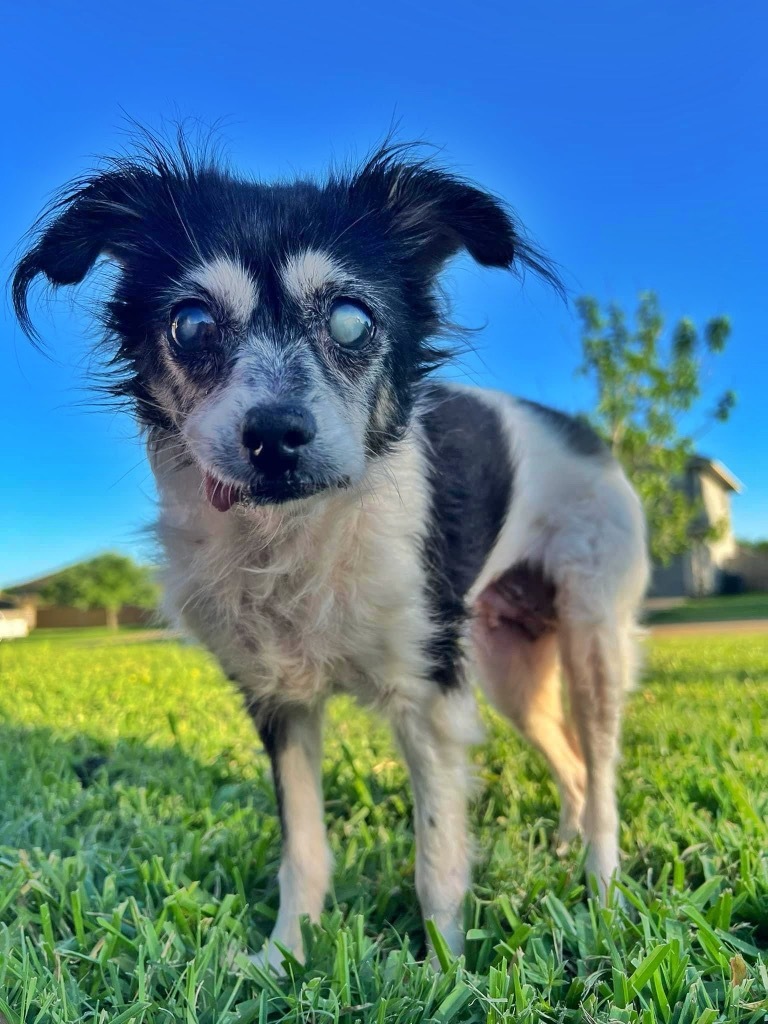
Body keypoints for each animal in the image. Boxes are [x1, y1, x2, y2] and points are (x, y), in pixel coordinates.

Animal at [12, 136, 651, 966]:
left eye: (351, 322)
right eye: (191, 325)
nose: (275, 435)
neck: (291, 530)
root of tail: (587, 436)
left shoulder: (428, 698)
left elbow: (437, 859)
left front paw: (444, 969)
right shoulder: (278, 704)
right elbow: (304, 849)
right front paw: (285, 956)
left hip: (589, 637)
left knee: (601, 773)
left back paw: (601, 890)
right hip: (510, 666)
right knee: (571, 764)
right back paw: (569, 848)